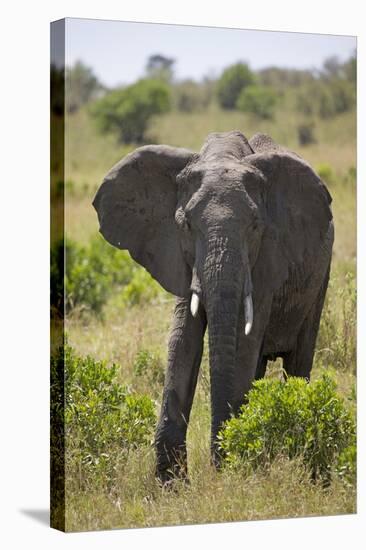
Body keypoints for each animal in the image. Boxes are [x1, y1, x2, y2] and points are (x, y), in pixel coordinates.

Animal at [92, 132, 334, 486]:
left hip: (320, 275)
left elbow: (244, 341)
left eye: (255, 226)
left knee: (298, 359)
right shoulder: (178, 256)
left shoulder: (267, 259)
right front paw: (171, 484)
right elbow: (183, 338)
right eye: (186, 225)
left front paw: (232, 467)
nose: (218, 467)